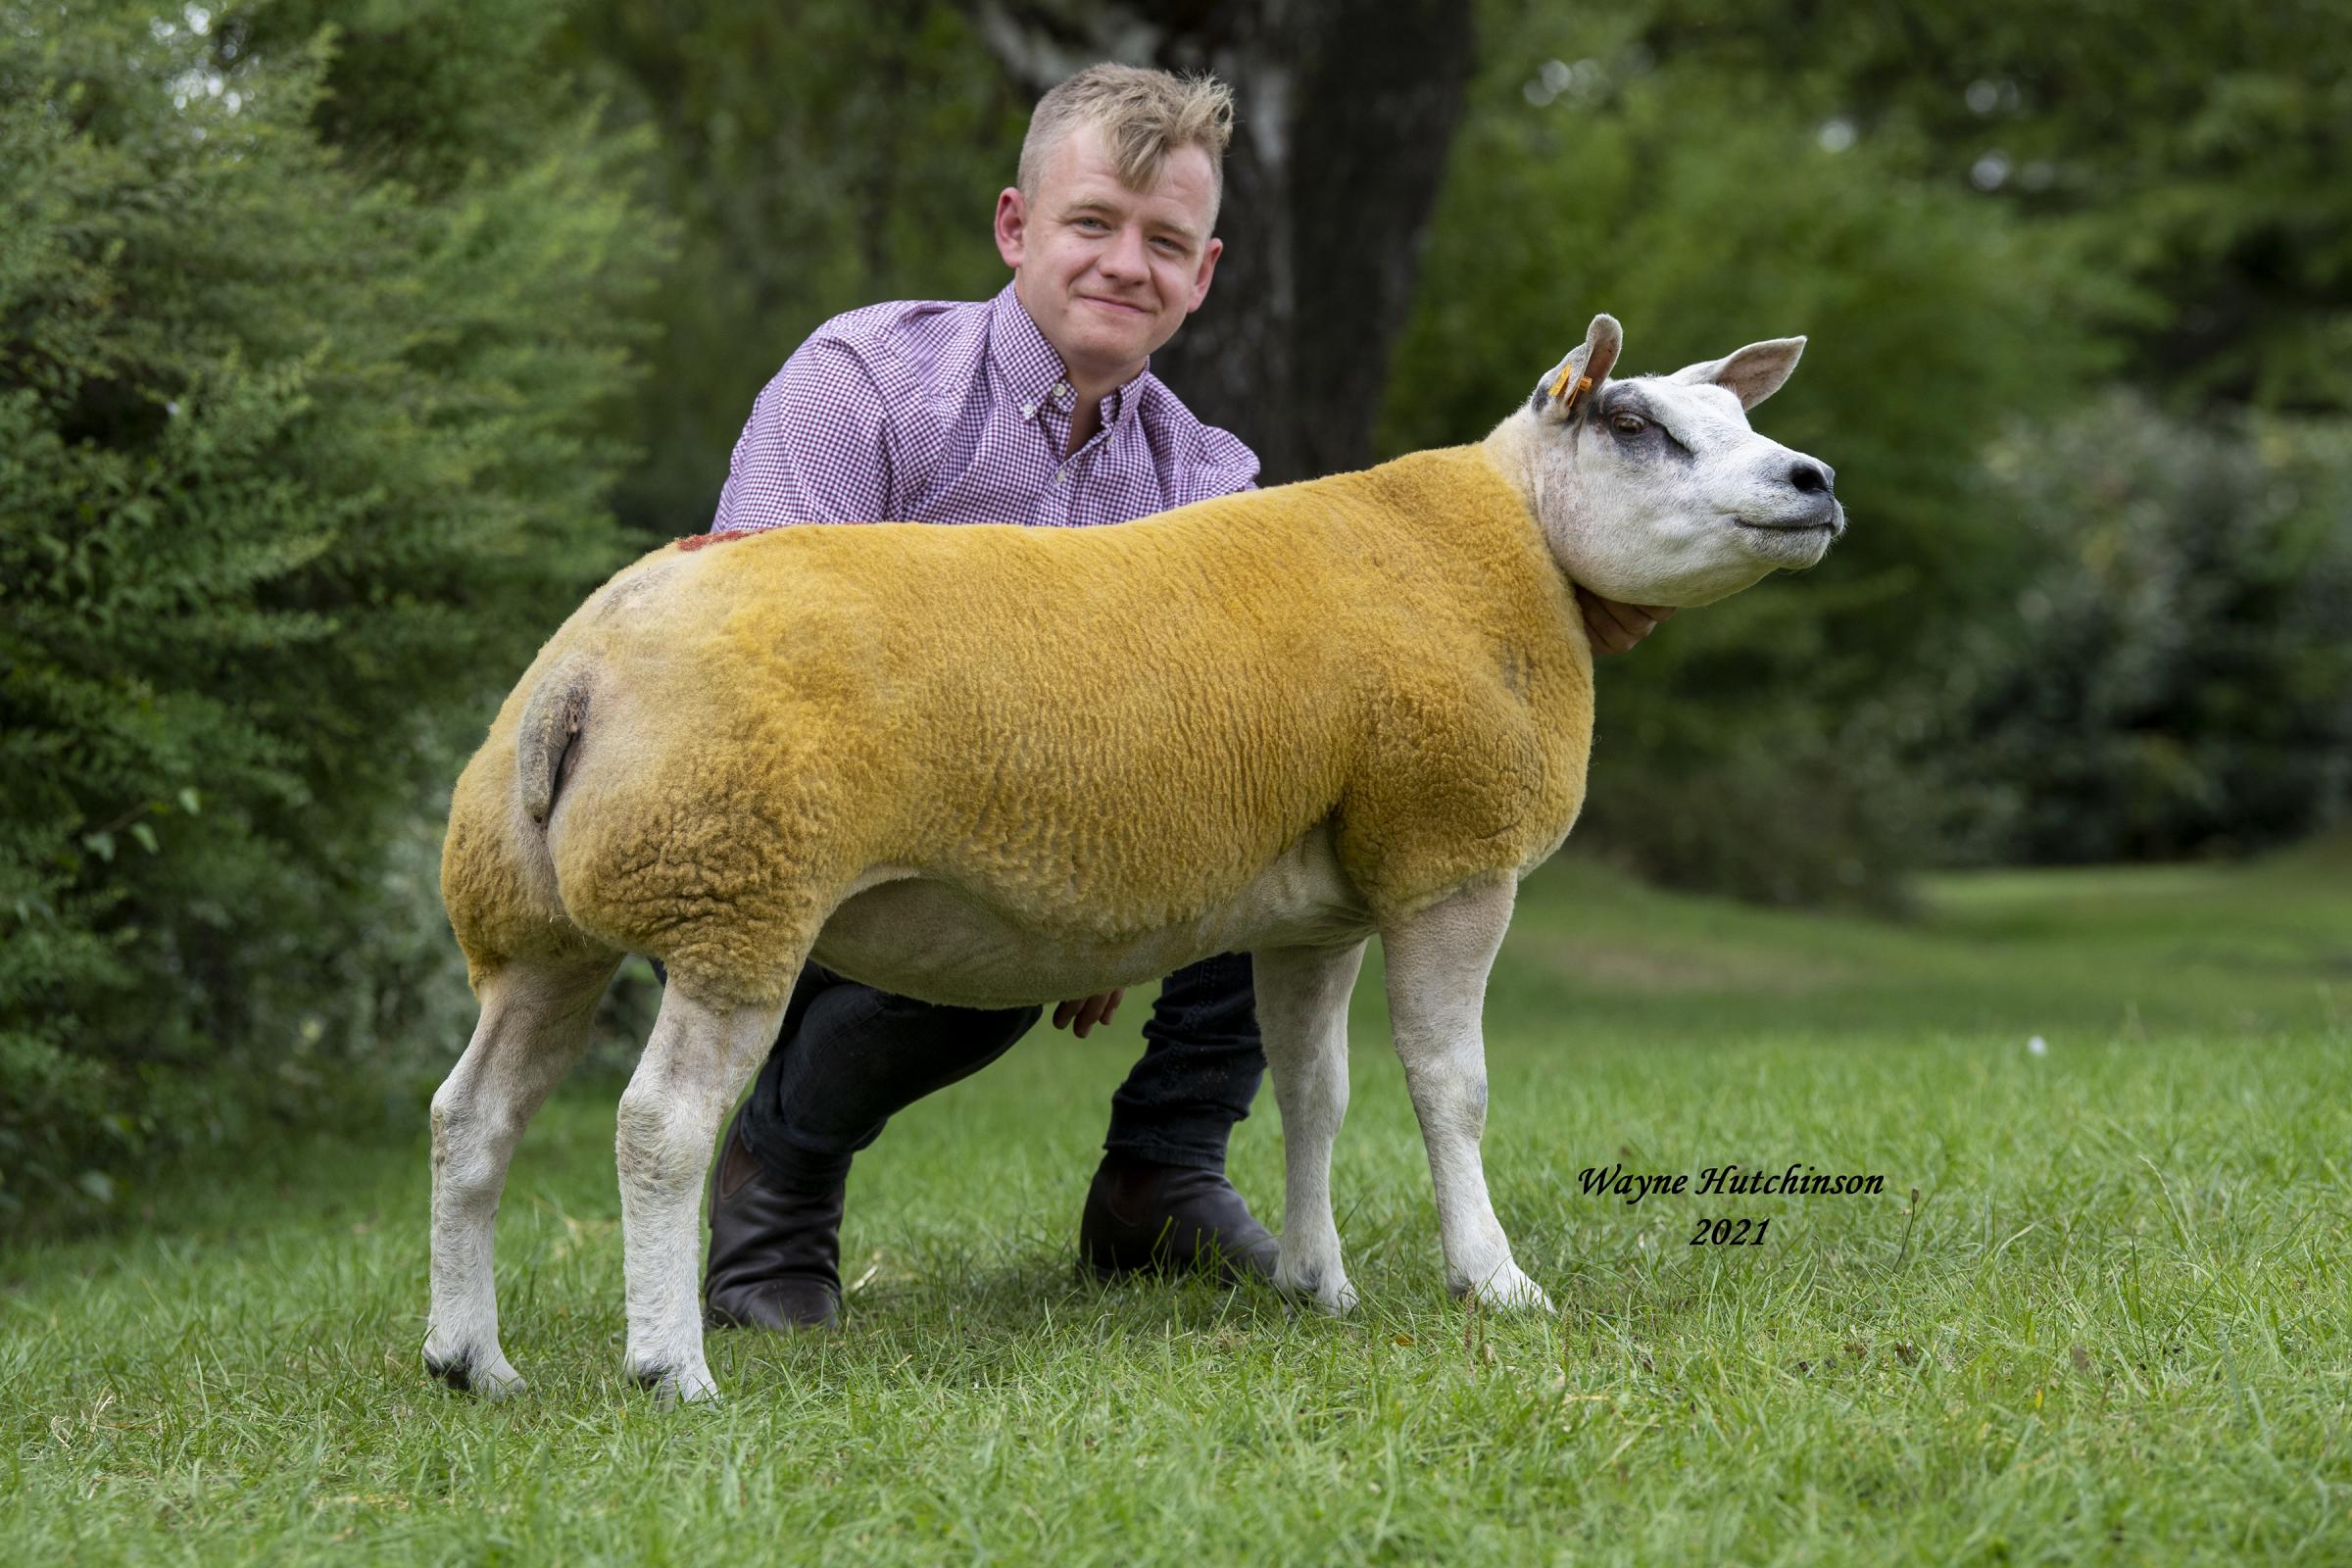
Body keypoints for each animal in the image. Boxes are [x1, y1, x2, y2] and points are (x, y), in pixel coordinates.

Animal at [432, 313, 1843, 1400]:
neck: (1520, 541)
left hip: (540, 927)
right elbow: (1454, 1089)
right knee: (659, 1125)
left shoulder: (1319, 908)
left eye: (1733, 412)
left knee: (472, 1115)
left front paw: (1318, 1281)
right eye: (1635, 426)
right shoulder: (1448, 854)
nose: (1813, 481)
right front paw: (1492, 1281)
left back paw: (471, 1360)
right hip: (737, 890)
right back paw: (671, 1367)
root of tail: (579, 672)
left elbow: (1315, 1092)